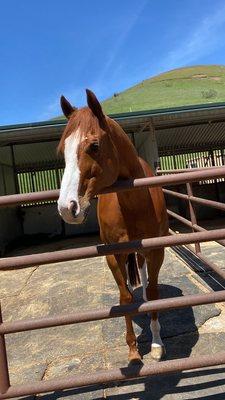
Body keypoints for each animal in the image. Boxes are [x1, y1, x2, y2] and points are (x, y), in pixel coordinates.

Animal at [57, 90, 168, 362]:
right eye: (63, 150)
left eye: (94, 146)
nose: (66, 207)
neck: (135, 204)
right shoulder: (112, 255)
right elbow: (125, 297)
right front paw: (133, 352)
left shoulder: (156, 250)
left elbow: (154, 294)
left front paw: (157, 344)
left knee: (146, 279)